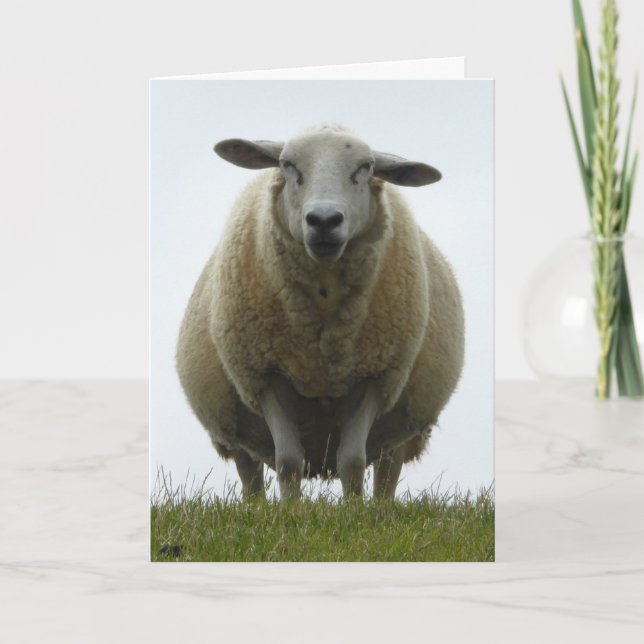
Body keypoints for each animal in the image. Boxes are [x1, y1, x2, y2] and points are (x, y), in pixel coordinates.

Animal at [176, 123, 464, 501]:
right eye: (287, 165)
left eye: (366, 167)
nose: (324, 220)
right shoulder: (265, 375)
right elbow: (288, 461)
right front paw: (290, 510)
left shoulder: (375, 376)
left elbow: (352, 462)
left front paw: (355, 511)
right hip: (233, 423)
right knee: (249, 473)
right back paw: (257, 508)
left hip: (400, 423)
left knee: (387, 472)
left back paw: (382, 508)